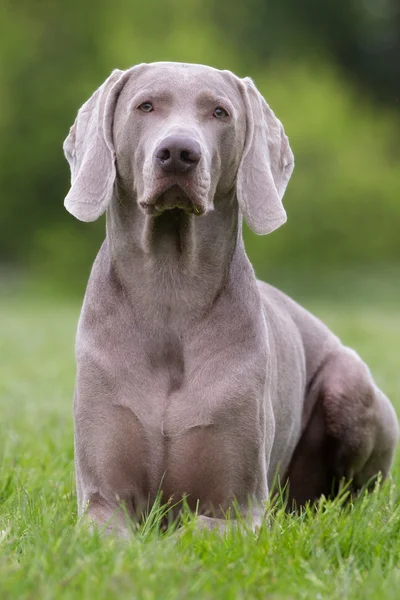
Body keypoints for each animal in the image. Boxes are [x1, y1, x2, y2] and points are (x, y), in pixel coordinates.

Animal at [64, 61, 398, 536]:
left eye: (220, 112)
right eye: (145, 106)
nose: (179, 152)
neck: (170, 291)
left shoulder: (241, 509)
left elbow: (192, 529)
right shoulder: (101, 498)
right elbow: (111, 530)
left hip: (347, 383)